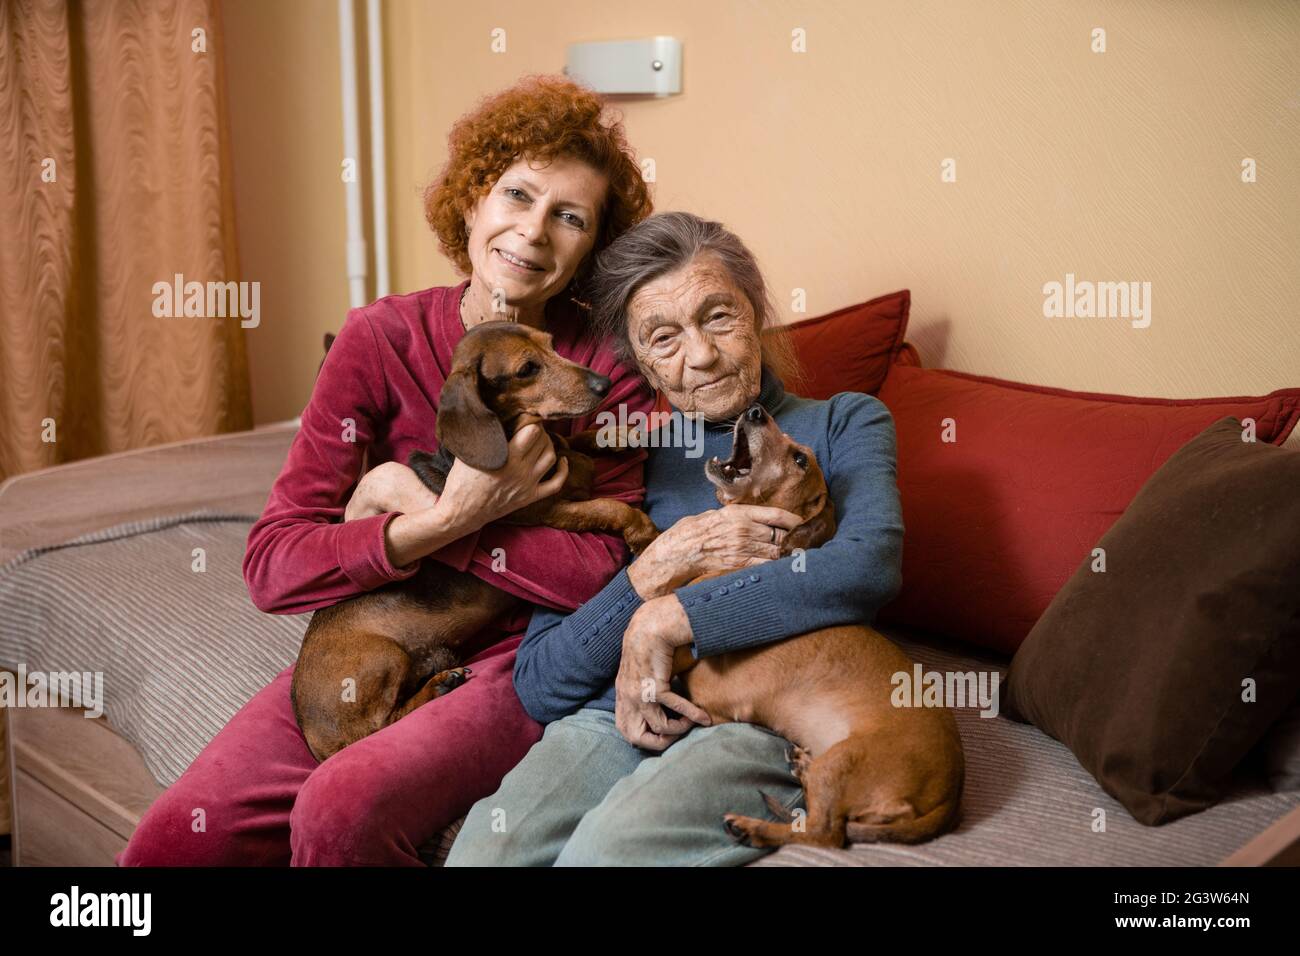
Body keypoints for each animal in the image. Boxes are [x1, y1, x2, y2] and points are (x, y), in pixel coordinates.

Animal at [296, 321, 660, 764]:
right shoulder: (545, 512)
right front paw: (644, 534)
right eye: (526, 369)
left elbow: (580, 440)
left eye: (552, 344)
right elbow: (611, 507)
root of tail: (315, 738)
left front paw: (619, 433)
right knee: (382, 723)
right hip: (383, 657)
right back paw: (439, 684)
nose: (603, 383)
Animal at [670, 403, 967, 842]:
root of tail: (951, 798)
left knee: (821, 834)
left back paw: (752, 826)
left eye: (800, 460)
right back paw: (800, 767)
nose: (755, 411)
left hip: (843, 761)